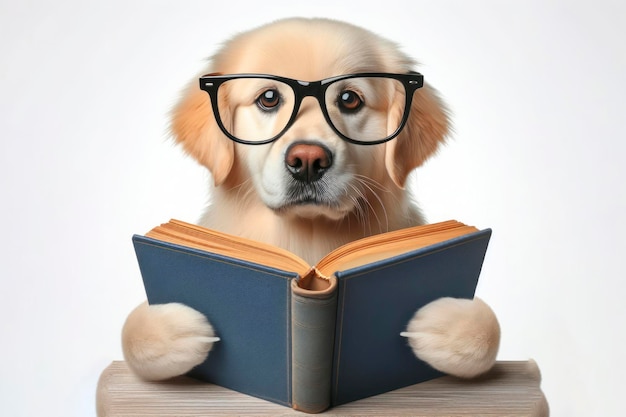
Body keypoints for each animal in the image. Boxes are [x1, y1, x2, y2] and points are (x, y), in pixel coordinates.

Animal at [122, 19, 500, 384]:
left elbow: (488, 327)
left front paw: (443, 322)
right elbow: (131, 330)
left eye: (349, 98)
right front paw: (179, 326)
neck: (307, 236)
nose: (307, 161)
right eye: (269, 97)